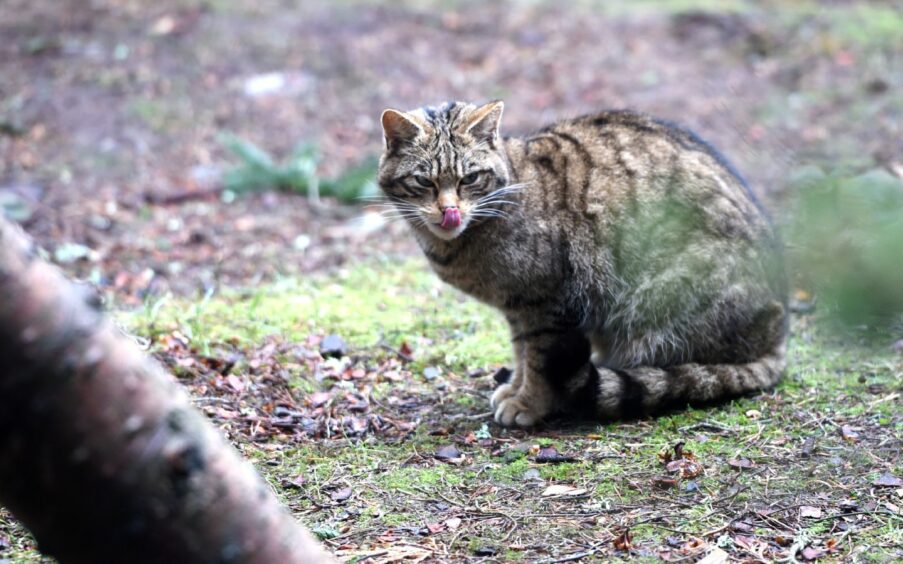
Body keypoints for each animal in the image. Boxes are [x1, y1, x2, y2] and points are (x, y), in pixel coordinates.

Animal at [378, 102, 788, 428]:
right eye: (424, 182)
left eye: (470, 178)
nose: (449, 211)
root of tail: (778, 335)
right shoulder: (519, 307)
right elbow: (521, 353)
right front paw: (515, 389)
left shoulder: (549, 305)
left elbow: (539, 362)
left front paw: (528, 403)